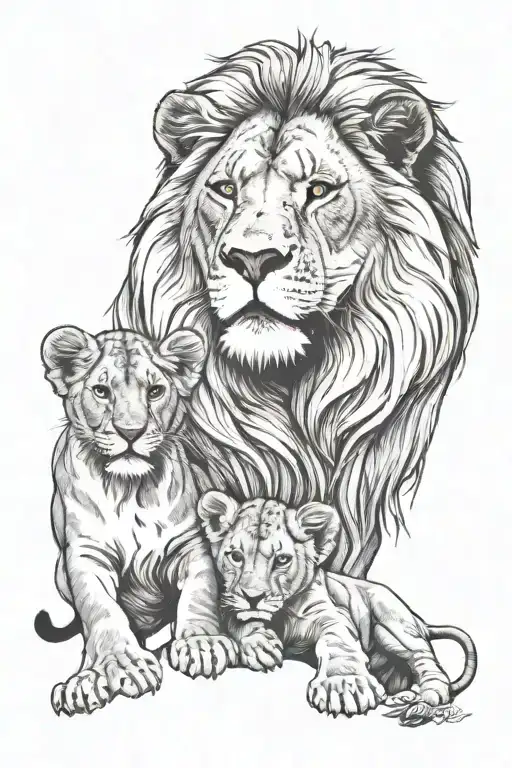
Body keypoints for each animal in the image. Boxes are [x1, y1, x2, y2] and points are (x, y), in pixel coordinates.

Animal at [35, 325, 237, 717]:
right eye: (102, 391)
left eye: (155, 391)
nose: (131, 433)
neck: (130, 490)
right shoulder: (85, 555)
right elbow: (101, 610)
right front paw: (123, 665)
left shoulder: (191, 546)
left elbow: (200, 593)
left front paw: (202, 644)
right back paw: (82, 682)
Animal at [198, 491, 477, 721]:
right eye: (235, 556)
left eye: (282, 559)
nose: (253, 597)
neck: (281, 614)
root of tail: (420, 621)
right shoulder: (231, 603)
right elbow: (238, 619)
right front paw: (259, 643)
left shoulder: (332, 614)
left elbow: (339, 642)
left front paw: (345, 686)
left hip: (391, 624)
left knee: (425, 658)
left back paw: (431, 693)